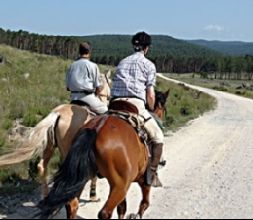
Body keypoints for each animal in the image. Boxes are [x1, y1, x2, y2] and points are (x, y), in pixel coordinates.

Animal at [37, 89, 169, 218]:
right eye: (163, 108)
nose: (163, 162)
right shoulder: (142, 181)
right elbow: (144, 204)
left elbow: (123, 207)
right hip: (119, 186)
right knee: (104, 213)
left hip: (74, 168)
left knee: (70, 201)